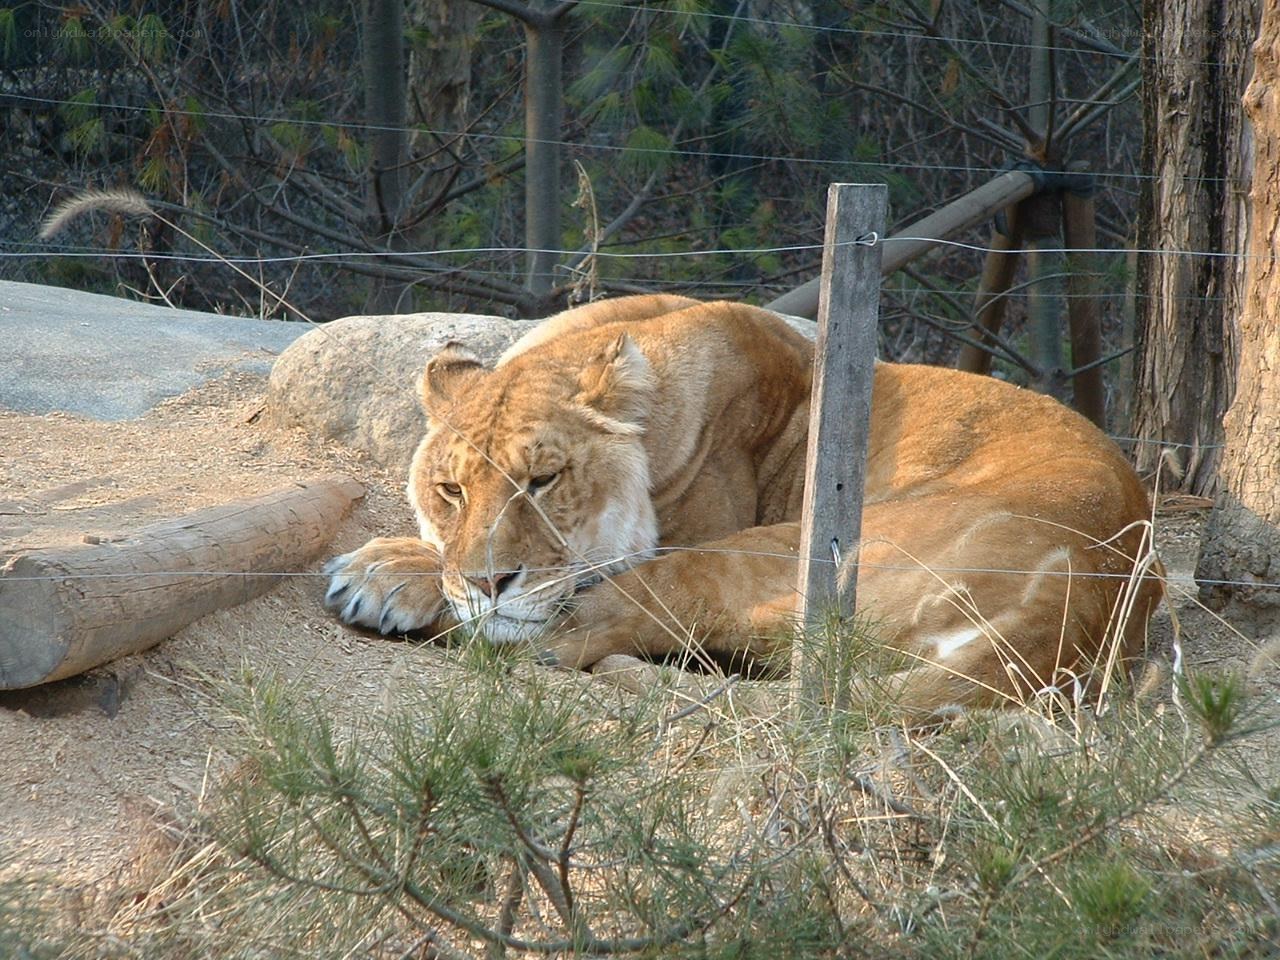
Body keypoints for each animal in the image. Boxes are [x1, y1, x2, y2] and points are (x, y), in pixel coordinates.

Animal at [324, 295, 1163, 714]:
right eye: (451, 490)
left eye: (545, 481)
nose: (489, 582)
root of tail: (1072, 604)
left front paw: (389, 574)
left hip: (774, 554)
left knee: (558, 636)